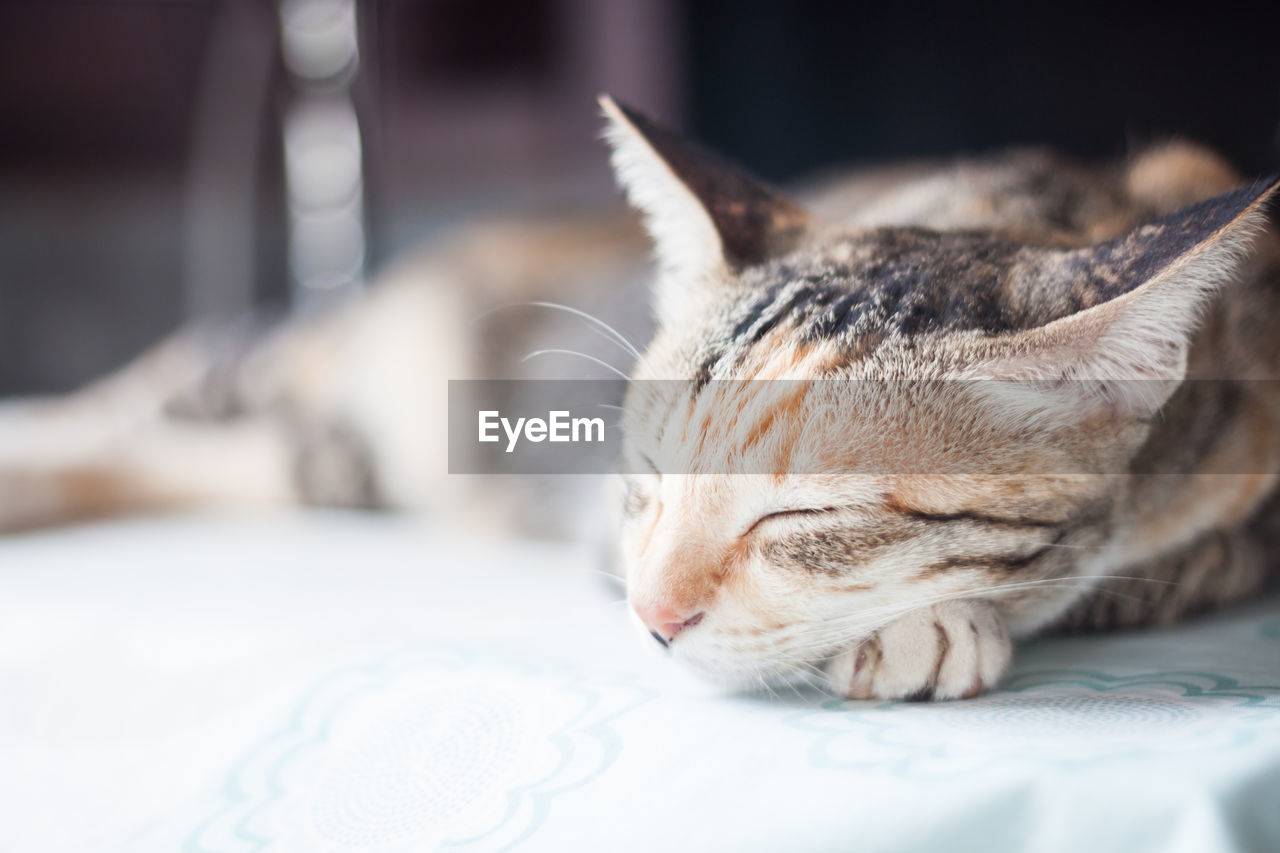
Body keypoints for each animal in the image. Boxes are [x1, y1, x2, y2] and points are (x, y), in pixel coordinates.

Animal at [2, 99, 1280, 696]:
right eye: (650, 474)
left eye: (803, 517)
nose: (651, 618)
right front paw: (923, 627)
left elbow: (1144, 572)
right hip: (301, 376)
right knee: (146, 401)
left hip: (325, 460)